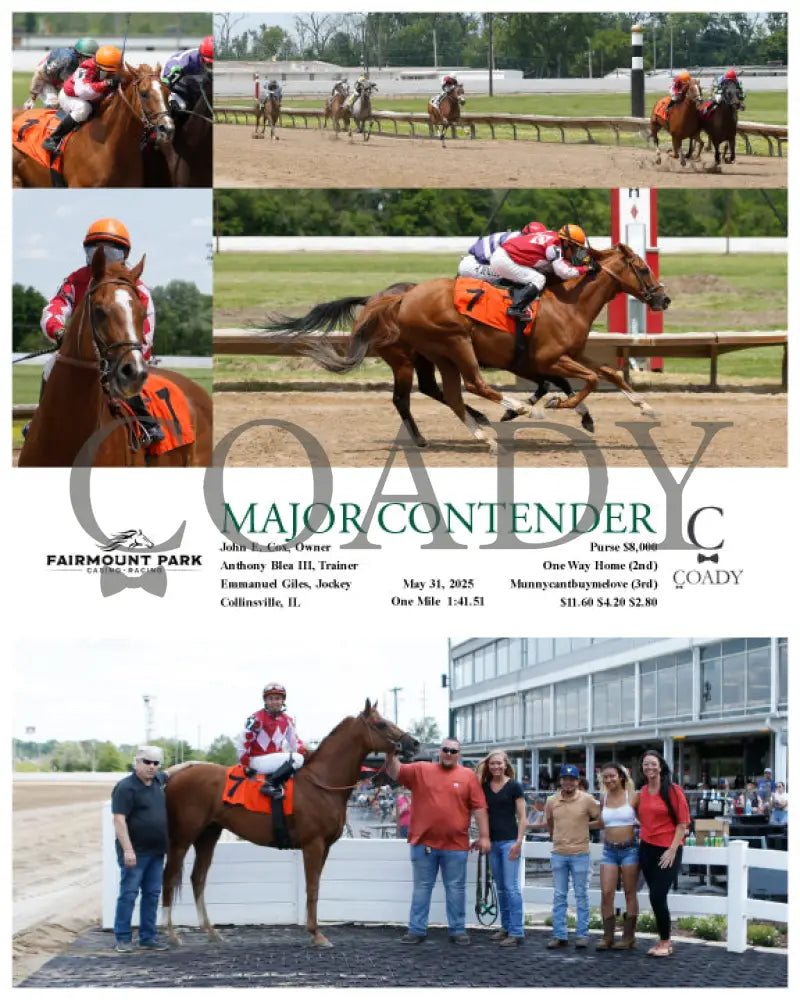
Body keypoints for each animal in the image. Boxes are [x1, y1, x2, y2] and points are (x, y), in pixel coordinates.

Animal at [161, 700, 419, 948]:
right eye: (382, 724)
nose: (414, 743)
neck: (322, 783)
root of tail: (175, 774)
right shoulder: (313, 845)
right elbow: (312, 887)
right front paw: (316, 934)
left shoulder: (325, 847)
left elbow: (315, 887)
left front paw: (313, 930)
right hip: (182, 837)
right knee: (168, 876)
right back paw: (170, 934)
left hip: (208, 835)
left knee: (198, 878)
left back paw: (211, 932)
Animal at [264, 282, 595, 447]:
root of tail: (377, 300)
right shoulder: (525, 359)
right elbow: (553, 381)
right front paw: (525, 408)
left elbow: (556, 381)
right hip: (404, 359)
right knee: (405, 397)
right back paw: (425, 437)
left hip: (422, 357)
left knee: (432, 389)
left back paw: (479, 418)